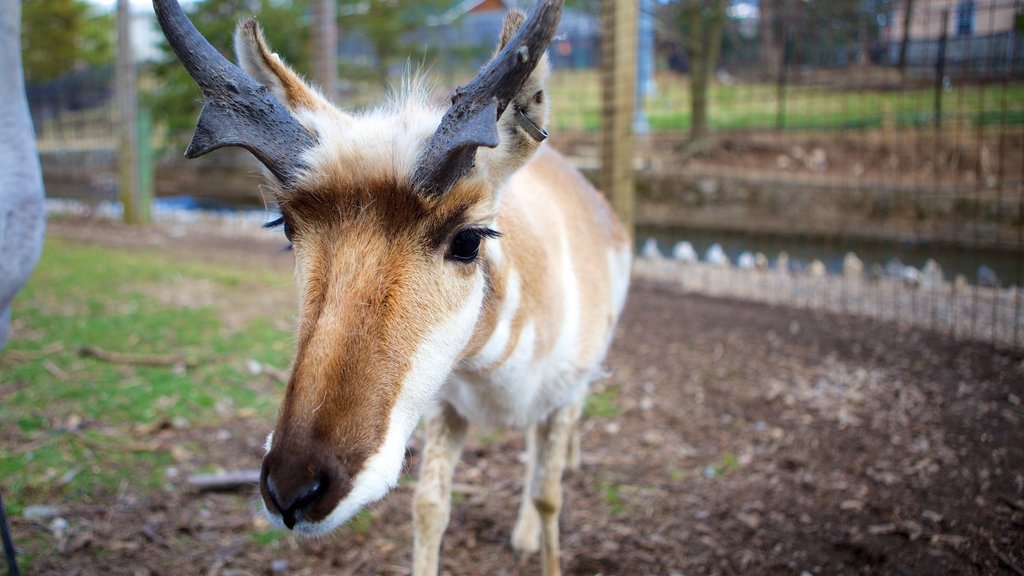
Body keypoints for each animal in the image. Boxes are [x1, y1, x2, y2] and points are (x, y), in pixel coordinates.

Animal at [153, 1, 630, 569]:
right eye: (286, 227)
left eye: (468, 239)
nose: (293, 490)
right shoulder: (447, 410)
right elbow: (429, 507)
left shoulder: (562, 399)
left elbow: (548, 495)